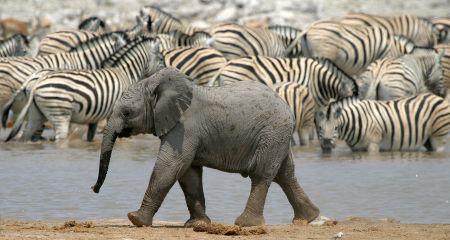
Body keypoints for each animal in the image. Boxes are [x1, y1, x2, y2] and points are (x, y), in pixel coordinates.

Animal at [4, 36, 163, 142]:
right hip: (59, 112)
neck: (124, 72)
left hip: (35, 113)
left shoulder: (96, 117)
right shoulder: (119, 112)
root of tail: (37, 82)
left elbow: (90, 137)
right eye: (161, 58)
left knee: (26, 135)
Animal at [90, 67, 320, 227]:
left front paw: (136, 219)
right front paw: (197, 224)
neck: (155, 83)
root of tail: (286, 106)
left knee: (262, 175)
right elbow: (188, 174)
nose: (94, 189)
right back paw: (307, 218)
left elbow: (170, 166)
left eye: (127, 113)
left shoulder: (184, 127)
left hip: (271, 133)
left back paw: (246, 224)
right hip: (278, 136)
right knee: (285, 174)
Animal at [314, 93, 450, 153]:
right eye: (320, 128)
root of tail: (439, 97)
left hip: (438, 136)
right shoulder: (356, 149)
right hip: (428, 140)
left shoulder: (373, 144)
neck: (355, 121)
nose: (326, 144)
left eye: (336, 128)